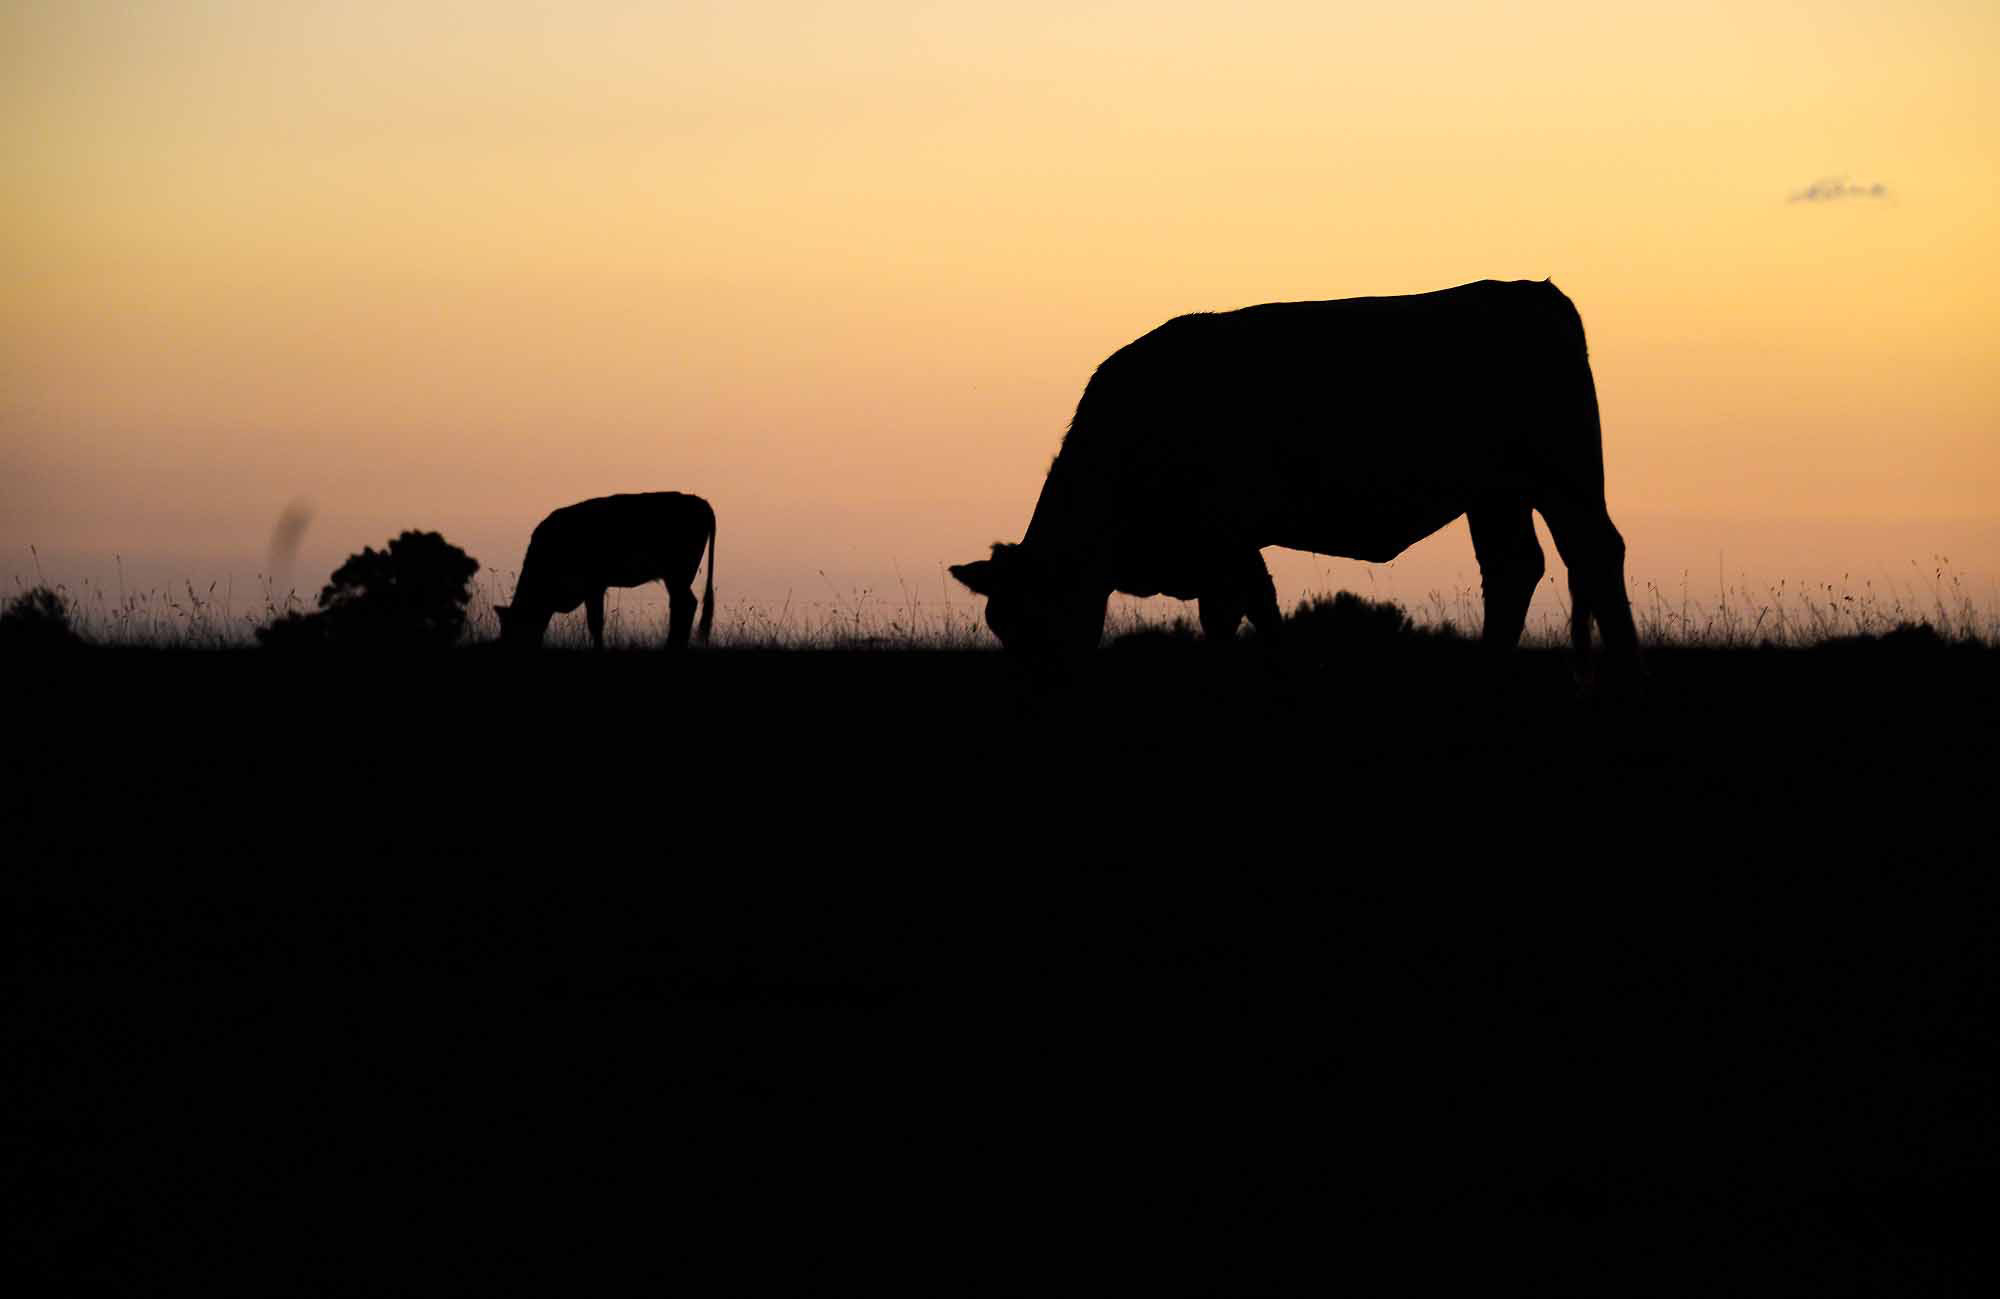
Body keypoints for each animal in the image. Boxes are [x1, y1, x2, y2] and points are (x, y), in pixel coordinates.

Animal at [496, 492, 716, 650]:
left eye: (511, 629)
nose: (505, 645)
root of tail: (700, 502)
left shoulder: (594, 586)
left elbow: (595, 623)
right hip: (677, 577)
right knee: (682, 605)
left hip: (677, 574)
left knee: (685, 604)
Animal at [950, 279, 1639, 671]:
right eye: (999, 625)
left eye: (1040, 613)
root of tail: (1537, 292)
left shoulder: (1226, 539)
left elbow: (1239, 612)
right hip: (1497, 493)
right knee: (1514, 567)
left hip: (1566, 474)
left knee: (1594, 552)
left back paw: (1626, 660)